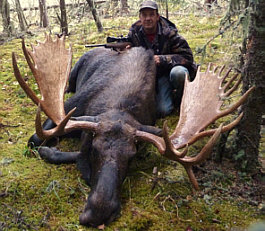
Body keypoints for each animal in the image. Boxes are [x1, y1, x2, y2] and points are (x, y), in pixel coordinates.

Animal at [12, 34, 254, 227]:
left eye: (132, 156)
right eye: (94, 148)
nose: (99, 213)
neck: (120, 104)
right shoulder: (71, 107)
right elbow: (35, 139)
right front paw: (50, 149)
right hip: (72, 79)